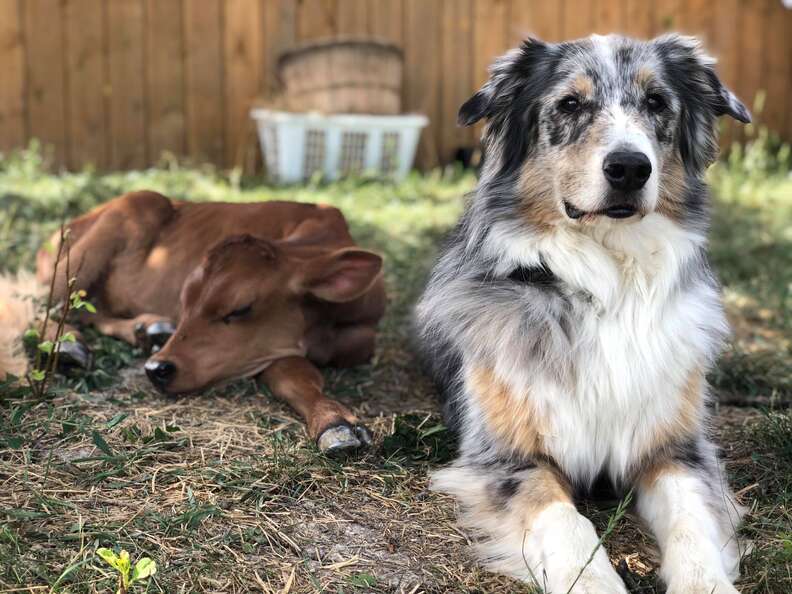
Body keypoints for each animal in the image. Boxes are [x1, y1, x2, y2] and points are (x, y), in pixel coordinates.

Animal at [3, 192, 386, 450]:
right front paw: (334, 422)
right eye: (185, 301)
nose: (156, 369)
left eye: (240, 308)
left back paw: (148, 328)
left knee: (87, 309)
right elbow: (293, 374)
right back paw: (68, 345)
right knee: (46, 307)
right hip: (116, 221)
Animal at [418, 34, 752, 588]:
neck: (608, 281)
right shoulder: (508, 457)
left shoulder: (675, 450)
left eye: (656, 102)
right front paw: (593, 580)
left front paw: (705, 582)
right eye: (570, 104)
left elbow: (690, 517)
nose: (630, 167)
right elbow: (565, 521)